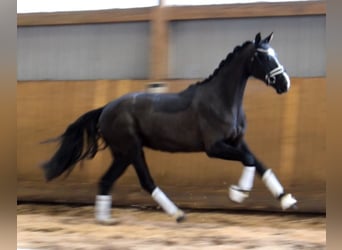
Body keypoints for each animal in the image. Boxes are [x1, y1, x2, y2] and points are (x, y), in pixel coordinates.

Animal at [42, 32, 296, 223]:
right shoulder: (214, 147)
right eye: (262, 56)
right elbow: (250, 160)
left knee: (106, 181)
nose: (285, 83)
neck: (221, 99)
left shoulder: (237, 141)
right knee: (145, 181)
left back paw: (105, 220)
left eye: (274, 54)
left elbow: (259, 163)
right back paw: (178, 214)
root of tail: (105, 109)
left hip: (122, 154)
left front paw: (286, 200)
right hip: (132, 149)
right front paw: (238, 194)